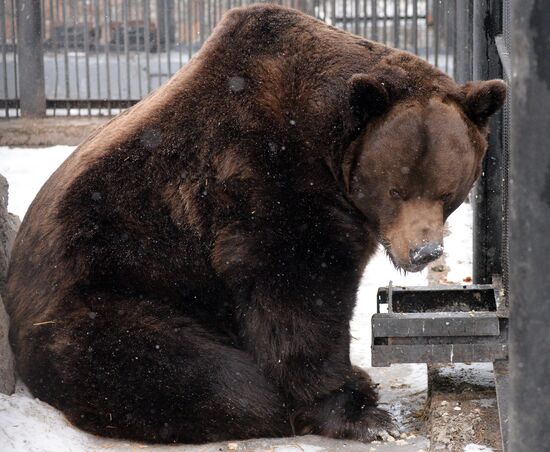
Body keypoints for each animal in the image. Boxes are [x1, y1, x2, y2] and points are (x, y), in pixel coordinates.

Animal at [4, 3, 506, 446]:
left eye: (447, 191)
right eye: (396, 190)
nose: (424, 252)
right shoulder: (262, 179)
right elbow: (294, 294)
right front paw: (356, 411)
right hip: (102, 298)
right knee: (200, 374)